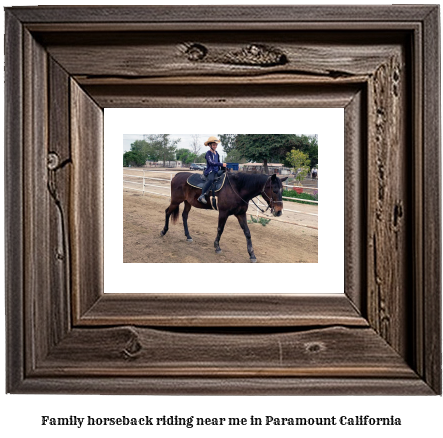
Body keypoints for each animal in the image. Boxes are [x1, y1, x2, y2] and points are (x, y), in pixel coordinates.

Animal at [160, 169, 288, 262]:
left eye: (282, 190)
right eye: (275, 190)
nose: (279, 211)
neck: (237, 189)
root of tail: (177, 175)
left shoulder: (241, 214)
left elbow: (247, 232)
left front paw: (252, 254)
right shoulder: (223, 213)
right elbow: (220, 229)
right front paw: (217, 247)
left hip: (188, 203)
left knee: (184, 216)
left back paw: (188, 236)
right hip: (175, 201)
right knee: (167, 212)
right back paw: (163, 231)